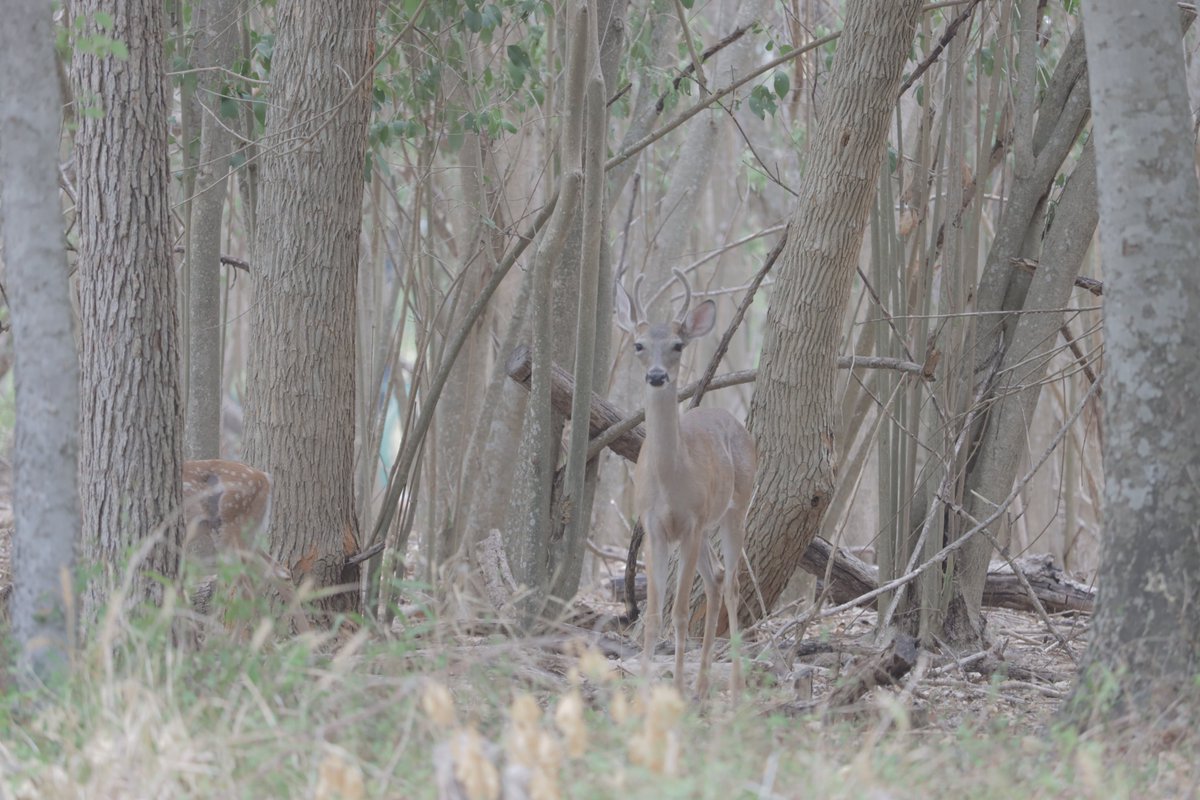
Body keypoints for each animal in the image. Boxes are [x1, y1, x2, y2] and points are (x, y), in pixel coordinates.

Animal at [615, 269, 757, 699]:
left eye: (678, 345)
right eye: (639, 344)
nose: (657, 375)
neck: (669, 480)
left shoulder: (691, 522)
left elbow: (677, 613)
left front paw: (674, 689)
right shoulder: (653, 526)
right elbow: (653, 614)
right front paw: (643, 693)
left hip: (735, 508)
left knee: (731, 585)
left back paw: (734, 686)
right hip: (708, 526)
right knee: (716, 580)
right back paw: (702, 684)